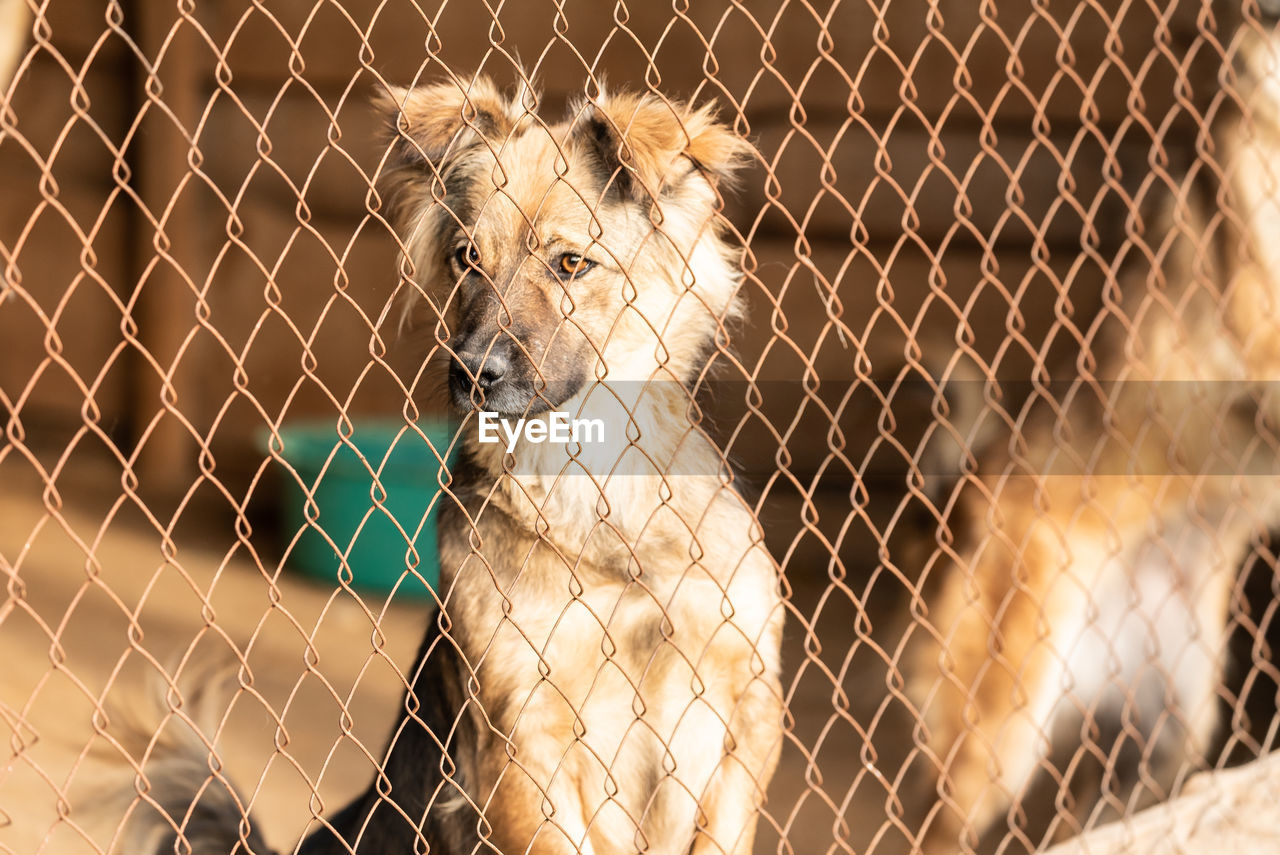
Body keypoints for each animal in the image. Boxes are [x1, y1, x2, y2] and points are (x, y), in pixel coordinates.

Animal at [115, 75, 783, 855]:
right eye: (468, 257)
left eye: (571, 263)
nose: (471, 373)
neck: (593, 486)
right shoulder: (522, 729)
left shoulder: (747, 697)